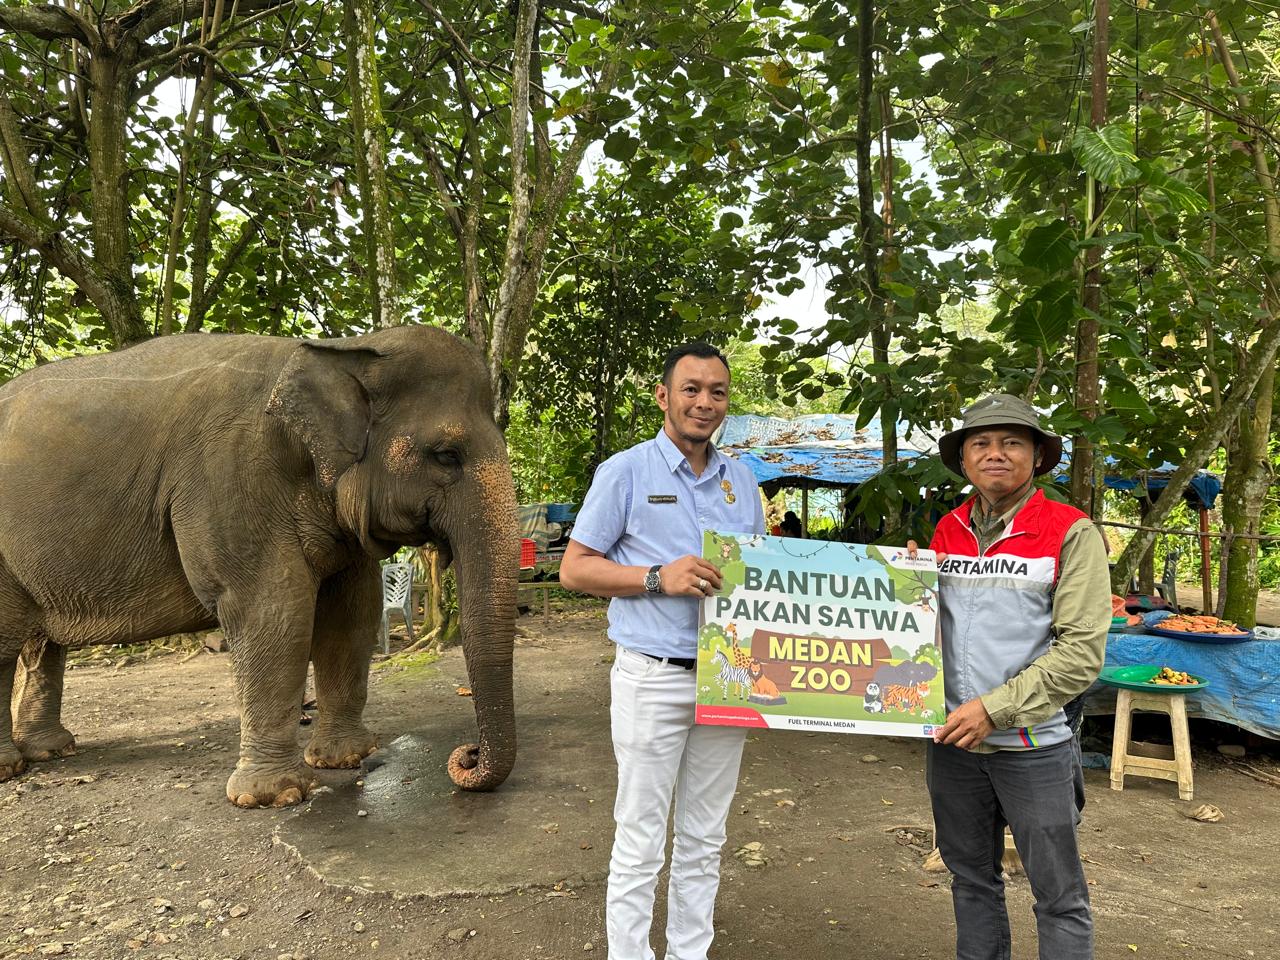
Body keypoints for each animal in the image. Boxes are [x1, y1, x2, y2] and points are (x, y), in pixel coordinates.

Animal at [1, 327, 519, 808]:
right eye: (446, 455)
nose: (467, 753)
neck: (343, 347)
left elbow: (352, 611)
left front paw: (345, 758)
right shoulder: (229, 475)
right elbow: (273, 609)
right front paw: (273, 796)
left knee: (42, 644)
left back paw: (52, 751)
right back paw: (13, 768)